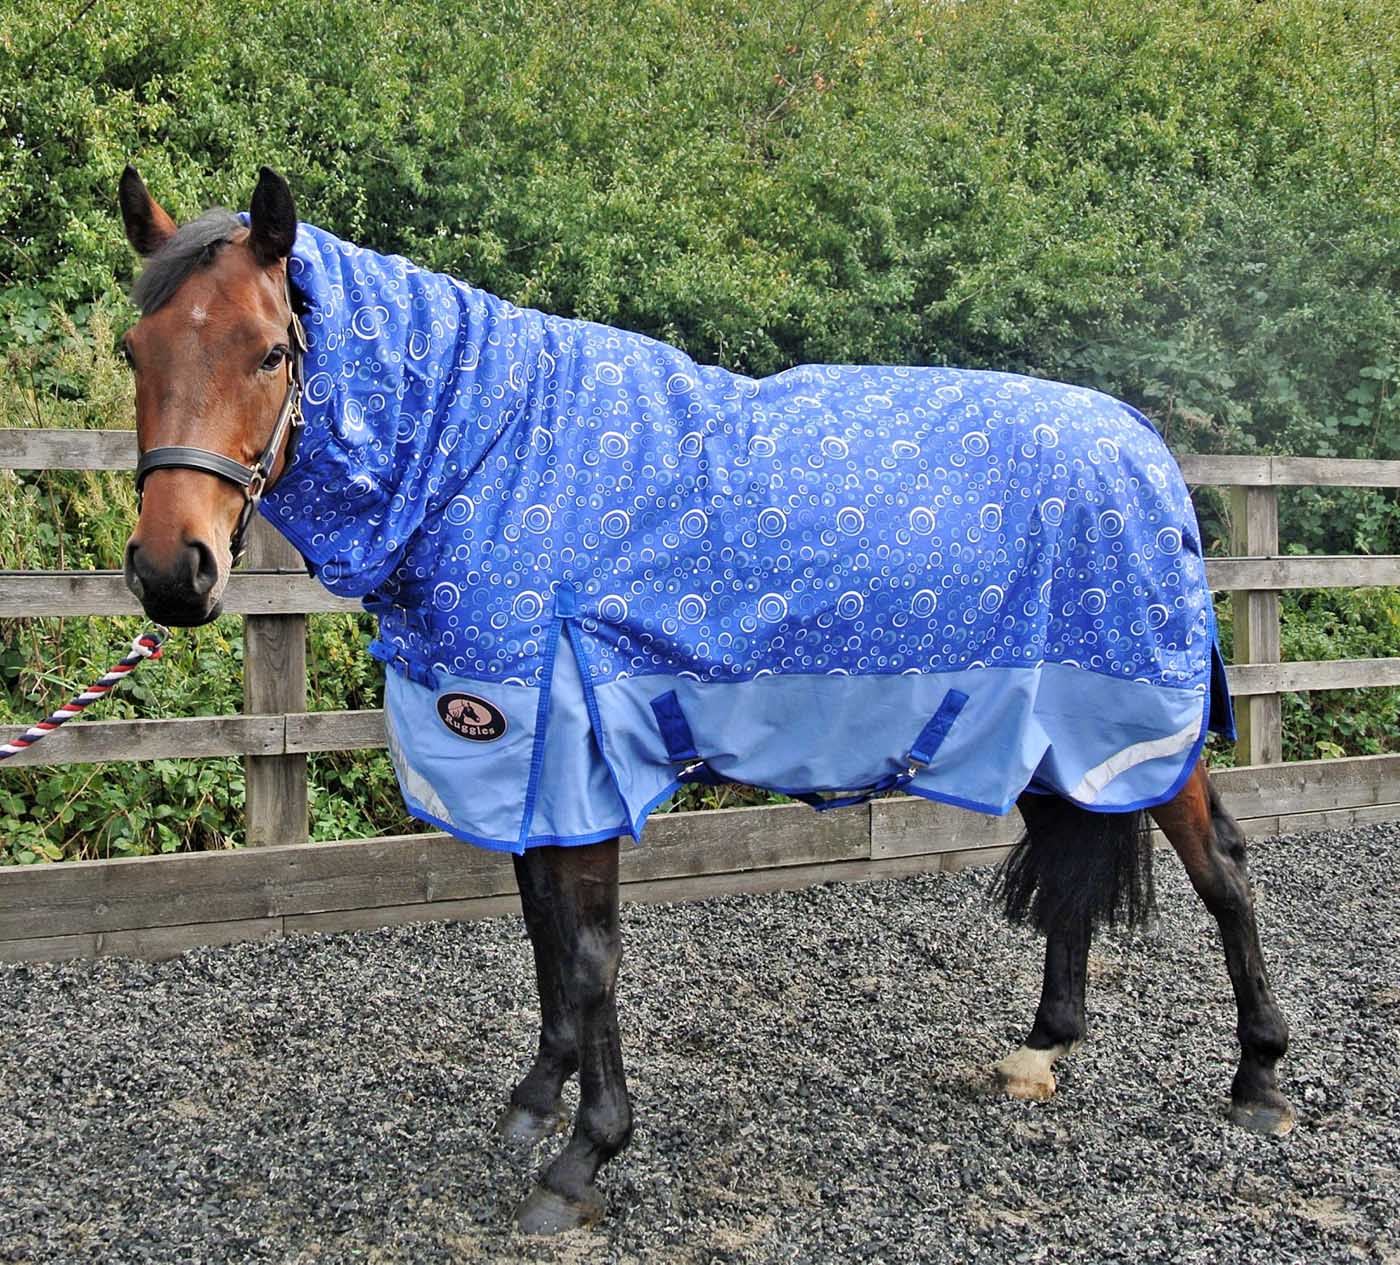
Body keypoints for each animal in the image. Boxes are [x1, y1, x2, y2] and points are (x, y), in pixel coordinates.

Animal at [117, 165, 1293, 1235]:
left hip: (1139, 725)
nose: (174, 573)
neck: (492, 459)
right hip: (1045, 730)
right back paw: (1043, 1045)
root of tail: (1145, 447)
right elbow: (545, 935)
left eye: (270, 352)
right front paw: (535, 1100)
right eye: (136, 350)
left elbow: (590, 954)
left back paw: (1259, 1081)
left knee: (1223, 872)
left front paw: (583, 1157)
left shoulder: (578, 753)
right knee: (1069, 862)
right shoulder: (523, 759)